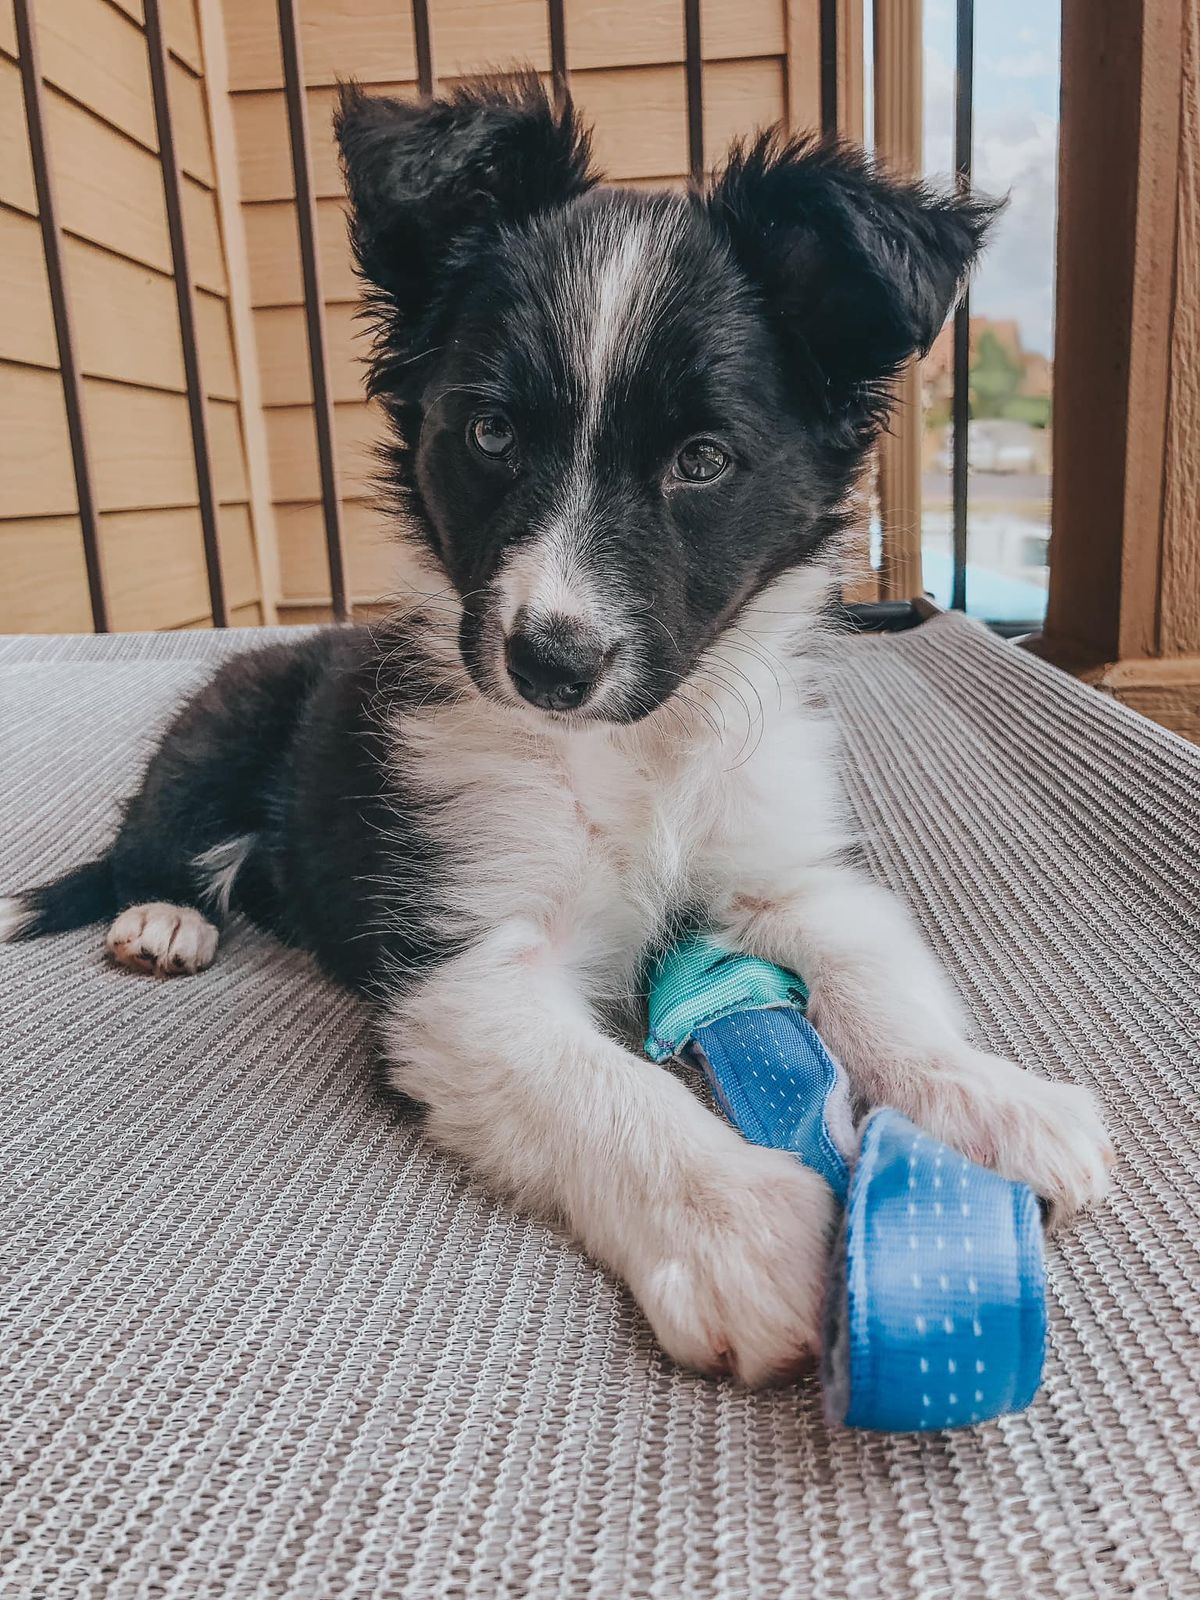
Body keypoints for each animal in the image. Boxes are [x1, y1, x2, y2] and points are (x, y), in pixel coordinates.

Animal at [1, 78, 1112, 1385]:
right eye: (489, 433)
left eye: (702, 460)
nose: (551, 661)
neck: (641, 754)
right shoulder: (469, 970)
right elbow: (611, 1095)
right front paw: (746, 1227)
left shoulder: (787, 873)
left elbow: (879, 980)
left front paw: (989, 1101)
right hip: (219, 720)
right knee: (150, 840)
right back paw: (164, 917)